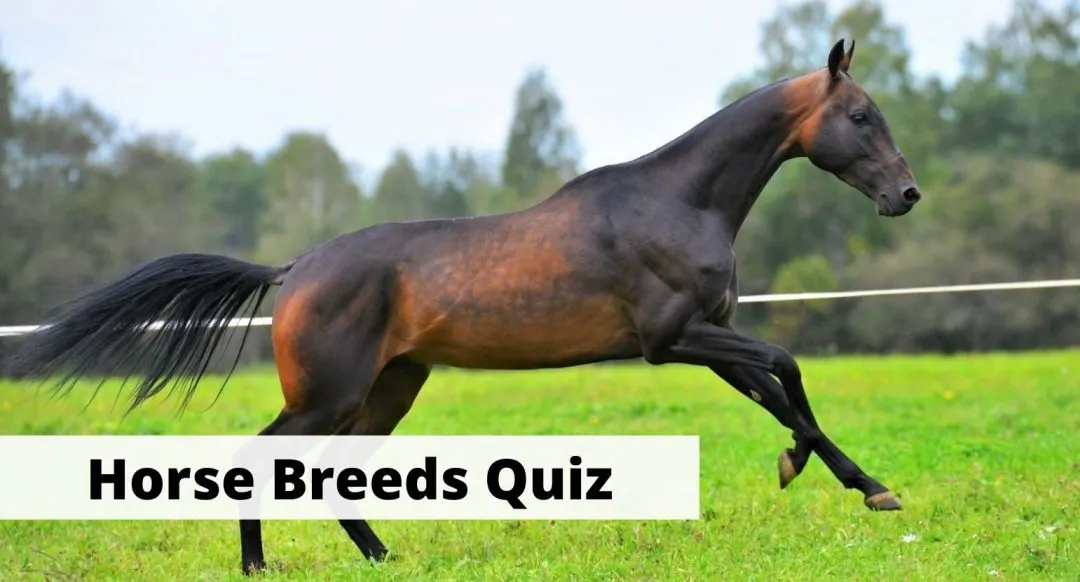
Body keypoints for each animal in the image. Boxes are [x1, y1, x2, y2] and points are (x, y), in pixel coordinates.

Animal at [6, 39, 922, 575]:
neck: (677, 202)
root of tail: (295, 269)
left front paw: (847, 479)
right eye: (859, 115)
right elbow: (787, 369)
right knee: (262, 460)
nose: (906, 196)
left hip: (388, 390)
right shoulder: (676, 339)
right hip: (328, 396)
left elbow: (778, 394)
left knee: (336, 476)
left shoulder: (711, 336)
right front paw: (845, 480)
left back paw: (384, 556)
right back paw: (259, 566)